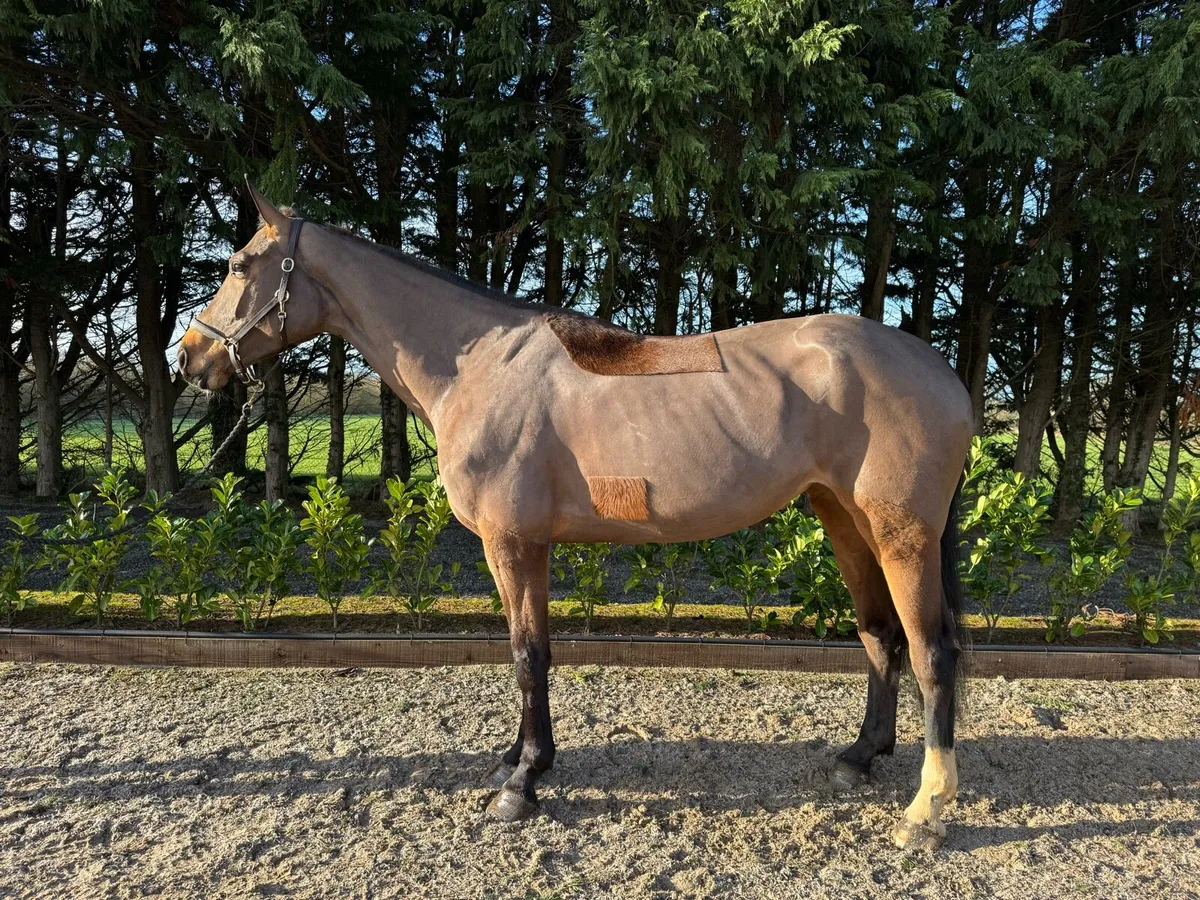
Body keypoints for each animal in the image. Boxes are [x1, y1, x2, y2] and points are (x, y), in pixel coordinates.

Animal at [178, 181, 974, 851]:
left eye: (239, 263)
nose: (190, 358)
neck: (478, 368)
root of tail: (945, 376)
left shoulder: (514, 543)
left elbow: (529, 656)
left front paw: (523, 783)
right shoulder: (519, 547)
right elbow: (523, 652)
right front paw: (515, 760)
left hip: (902, 534)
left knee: (931, 652)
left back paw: (926, 811)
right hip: (844, 519)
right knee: (880, 636)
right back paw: (860, 758)